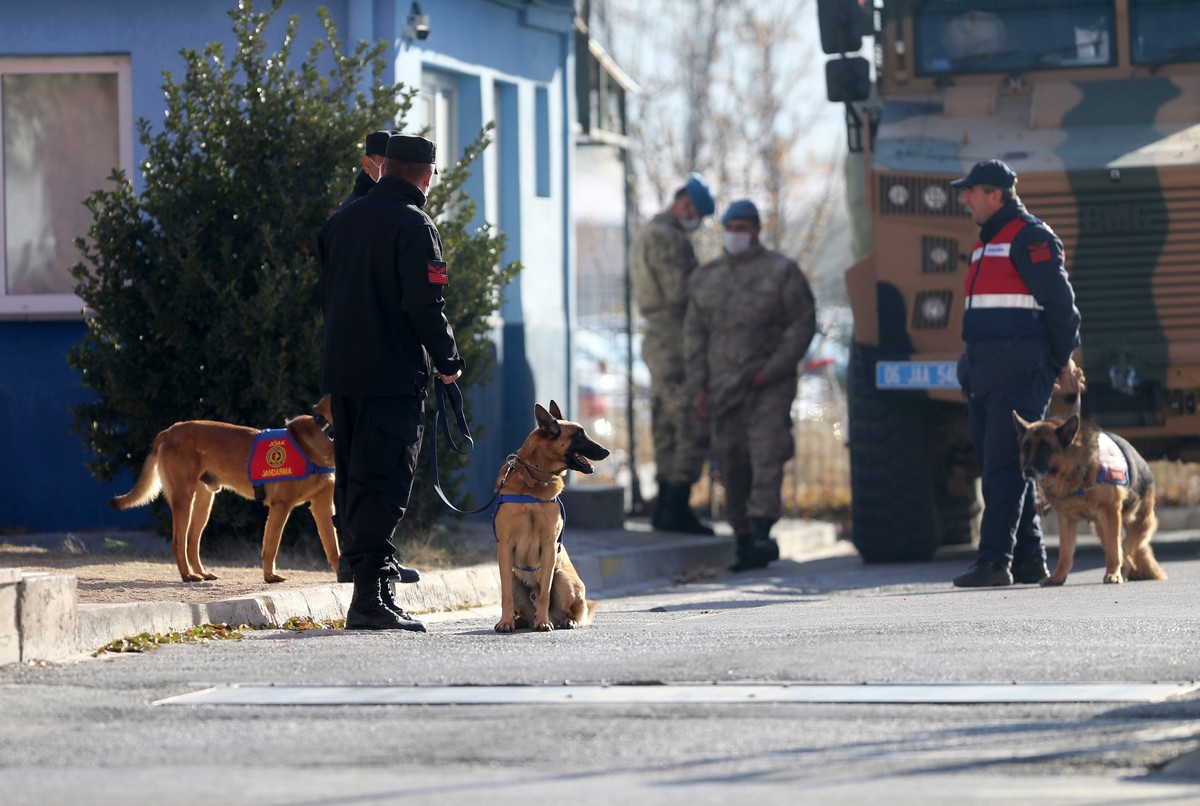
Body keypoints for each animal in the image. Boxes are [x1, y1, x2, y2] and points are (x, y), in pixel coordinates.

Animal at [111, 398, 340, 582]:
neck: (324, 433)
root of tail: (168, 432)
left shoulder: (322, 509)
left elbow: (333, 548)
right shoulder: (281, 506)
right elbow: (271, 546)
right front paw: (269, 577)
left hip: (204, 503)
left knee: (192, 542)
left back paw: (201, 573)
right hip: (184, 498)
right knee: (179, 542)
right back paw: (188, 576)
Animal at [494, 400, 609, 633]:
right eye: (579, 435)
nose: (607, 451)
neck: (534, 479)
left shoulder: (549, 546)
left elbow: (545, 591)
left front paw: (543, 622)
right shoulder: (505, 546)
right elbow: (505, 595)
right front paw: (505, 622)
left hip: (564, 578)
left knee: (575, 611)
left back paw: (566, 620)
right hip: (513, 578)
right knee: (515, 600)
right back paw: (519, 621)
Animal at [1012, 412, 1161, 587]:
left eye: (1045, 448)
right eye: (1026, 446)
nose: (1027, 470)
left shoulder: (1110, 512)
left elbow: (1114, 550)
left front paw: (1112, 574)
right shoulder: (1066, 520)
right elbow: (1065, 553)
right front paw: (1057, 577)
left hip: (1136, 525)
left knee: (1127, 552)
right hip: (1102, 528)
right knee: (1124, 554)